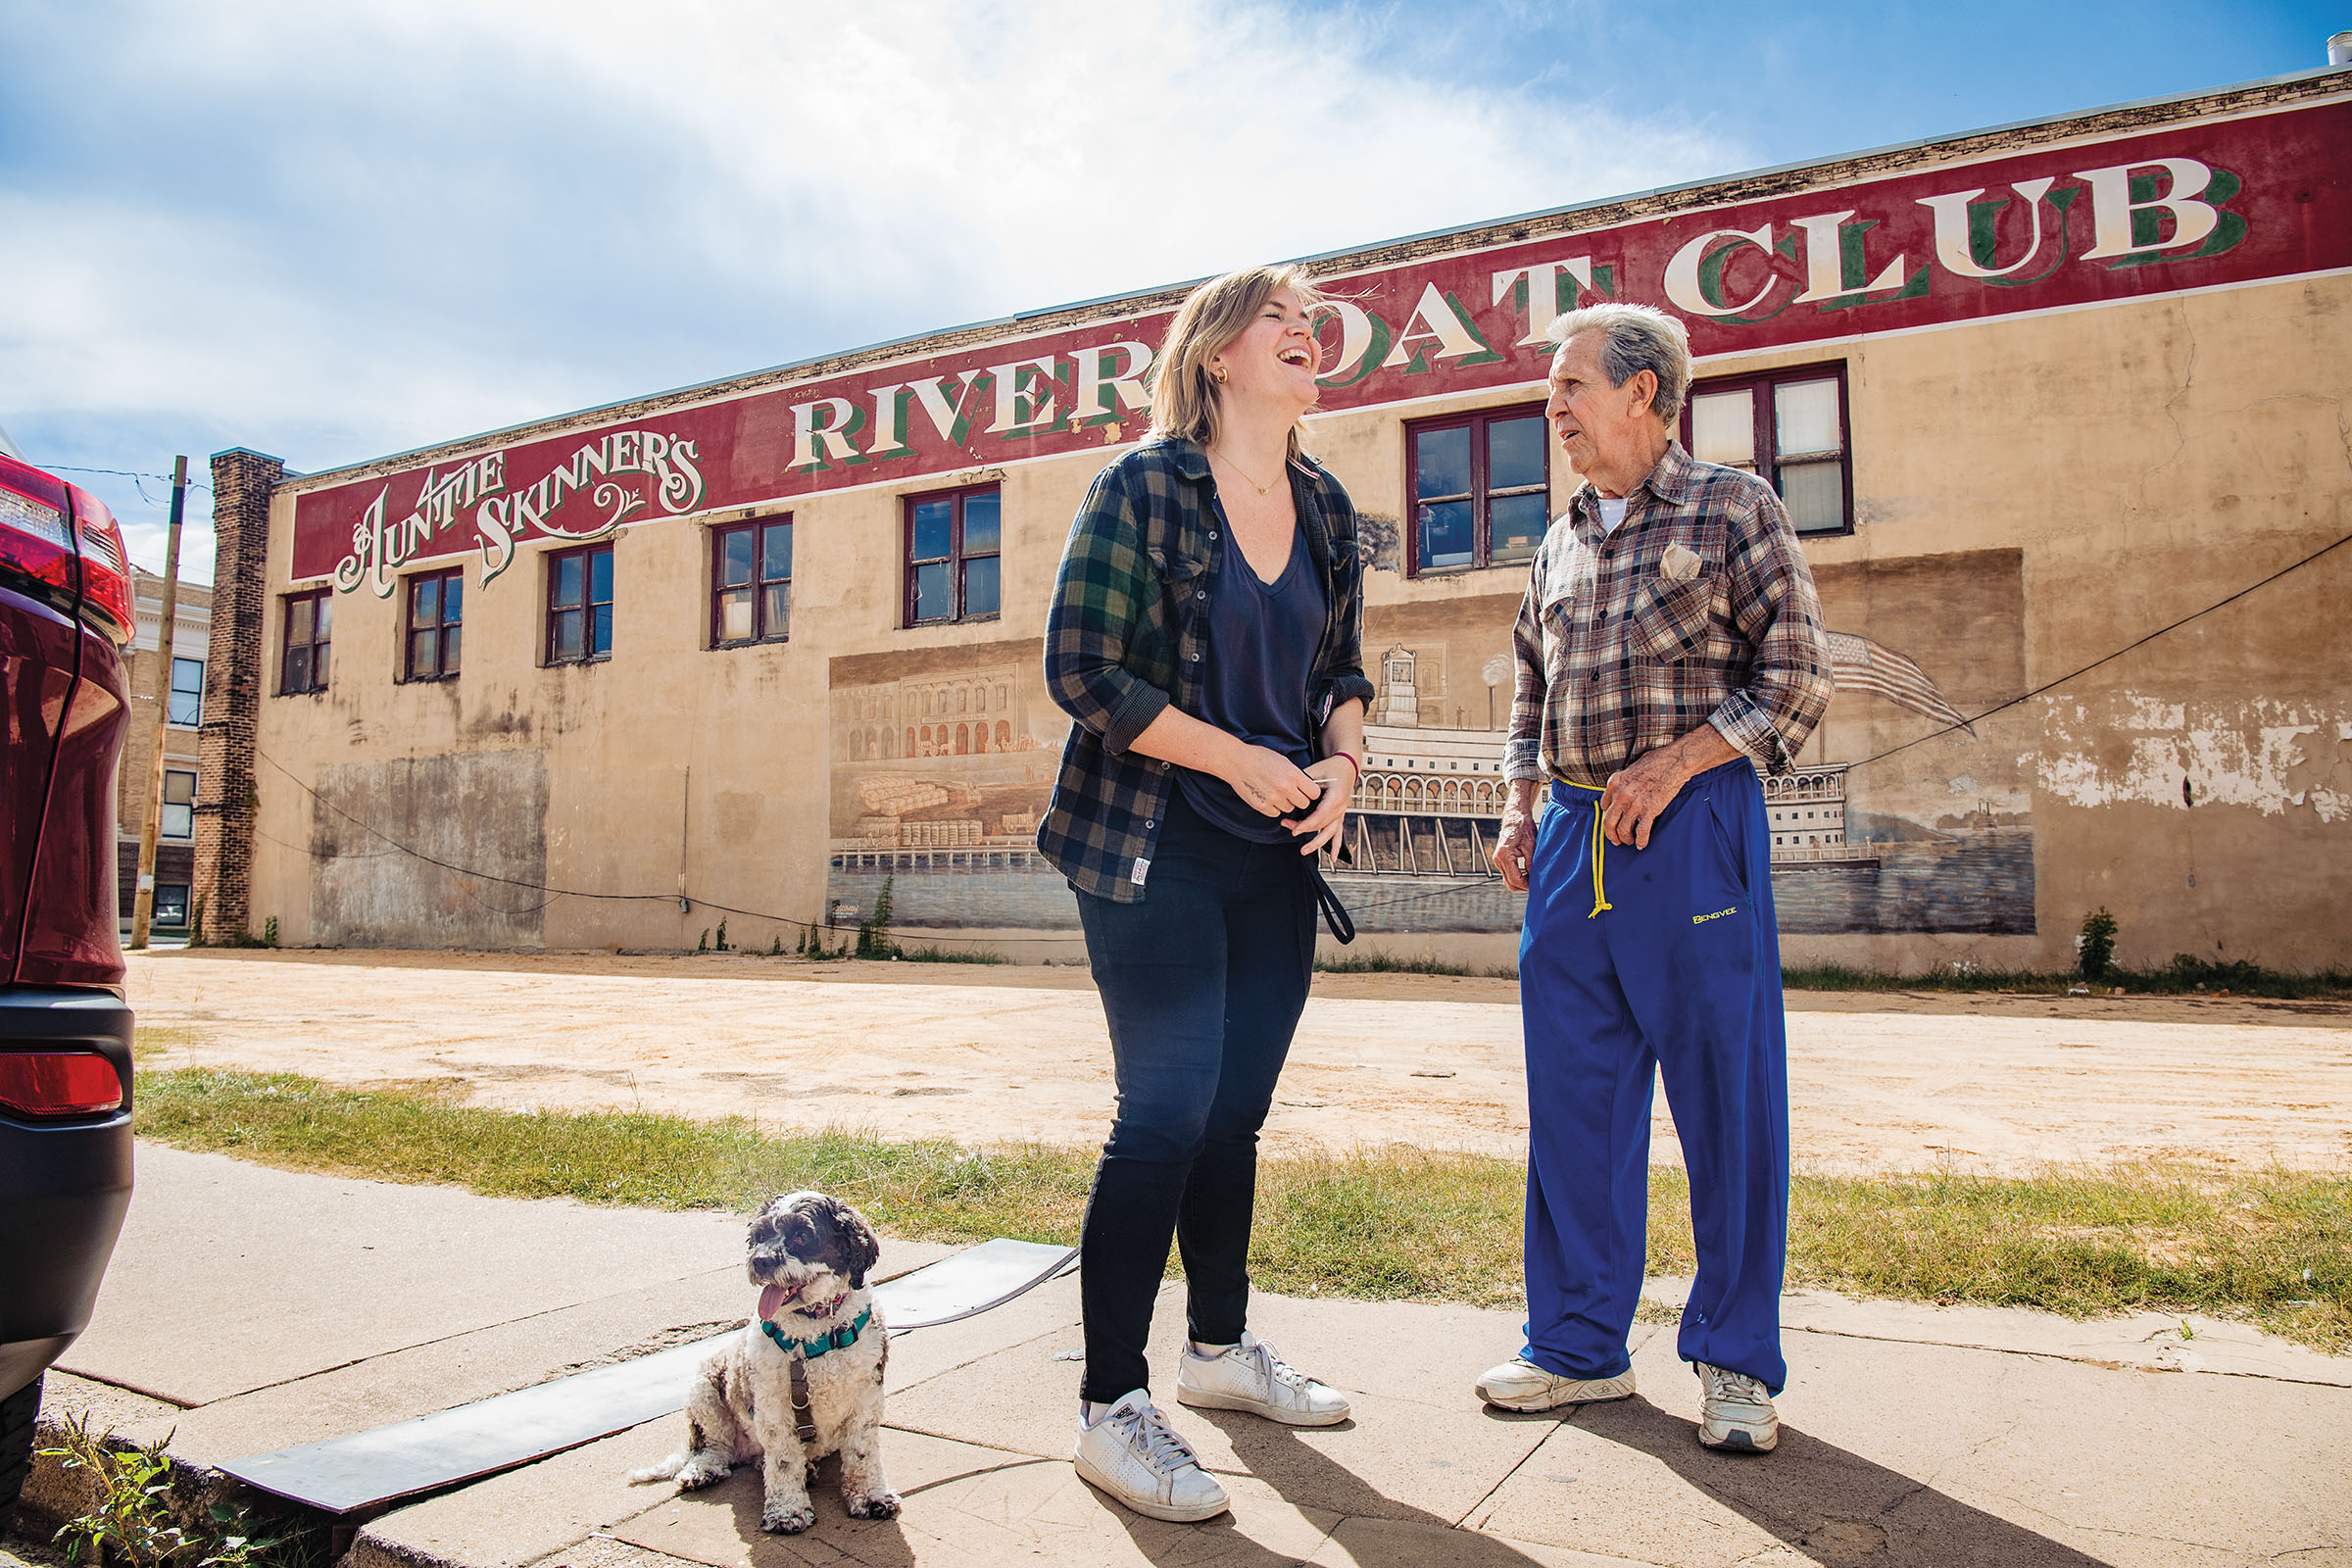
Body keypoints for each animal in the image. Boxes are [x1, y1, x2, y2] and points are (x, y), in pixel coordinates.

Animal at [630, 1189, 894, 1533]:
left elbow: (862, 1453)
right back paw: (702, 1470)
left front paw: (870, 1497)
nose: (760, 1260)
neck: (815, 1331)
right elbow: (782, 1460)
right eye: (758, 1237)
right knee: (715, 1445)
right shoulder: (773, 1405)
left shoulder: (865, 1398)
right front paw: (787, 1511)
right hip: (704, 1390)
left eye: (802, 1236)